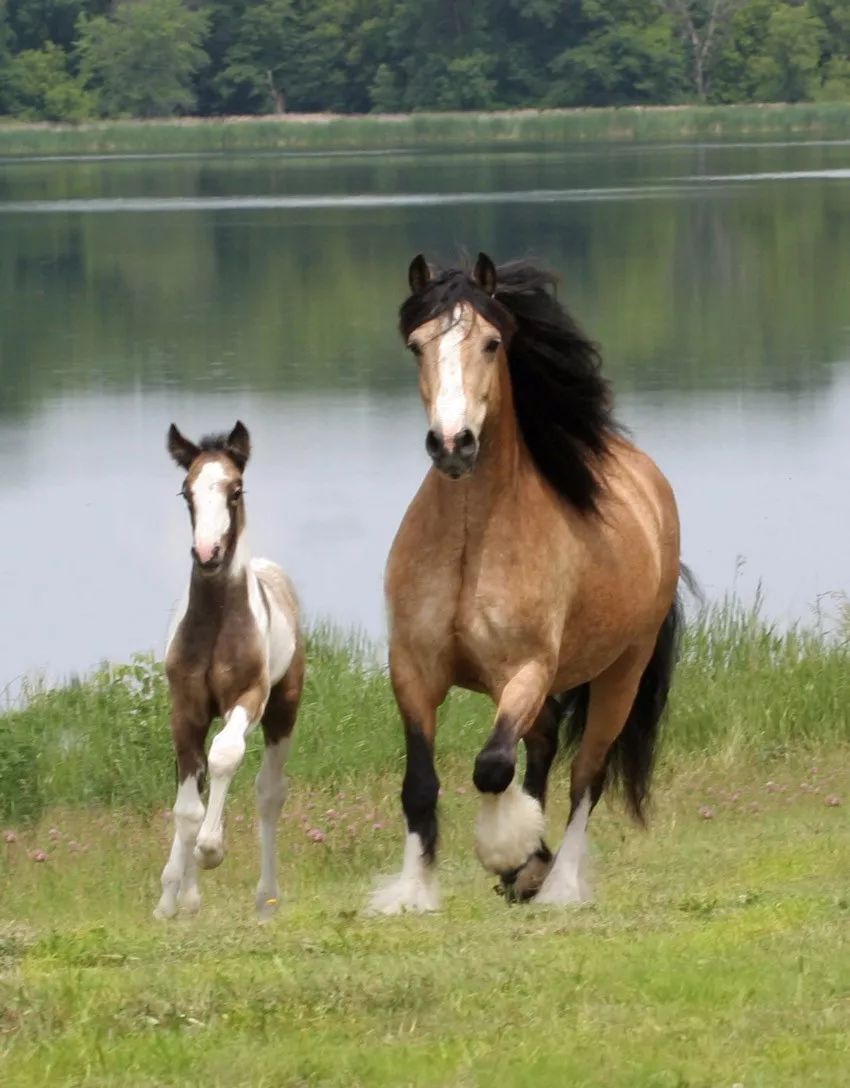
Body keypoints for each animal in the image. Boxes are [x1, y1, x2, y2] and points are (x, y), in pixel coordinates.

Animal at [154, 419, 302, 922]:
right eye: (186, 491)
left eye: (235, 490)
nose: (207, 553)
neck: (217, 622)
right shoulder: (185, 708)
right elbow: (187, 807)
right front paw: (175, 898)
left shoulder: (249, 697)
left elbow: (224, 755)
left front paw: (212, 850)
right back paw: (181, 896)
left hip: (283, 710)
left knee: (269, 792)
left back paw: (267, 898)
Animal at [372, 250, 683, 913]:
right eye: (416, 345)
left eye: (492, 343)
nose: (453, 444)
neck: (471, 539)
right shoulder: (412, 669)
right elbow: (419, 784)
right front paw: (413, 891)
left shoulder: (527, 670)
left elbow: (492, 767)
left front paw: (505, 852)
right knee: (540, 747)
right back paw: (531, 870)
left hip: (620, 674)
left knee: (585, 776)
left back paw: (555, 880)